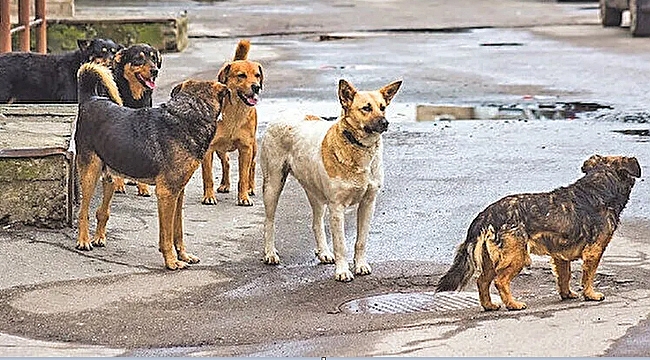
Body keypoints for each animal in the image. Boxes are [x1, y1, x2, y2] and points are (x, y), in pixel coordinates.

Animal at [74, 62, 228, 270]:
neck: (188, 115)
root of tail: (90, 99)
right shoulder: (166, 193)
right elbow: (167, 235)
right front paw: (171, 261)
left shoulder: (178, 192)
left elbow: (178, 231)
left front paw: (183, 255)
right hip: (90, 173)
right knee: (83, 212)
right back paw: (83, 241)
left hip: (110, 177)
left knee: (102, 211)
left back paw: (99, 238)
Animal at [202, 38, 264, 205]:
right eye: (241, 75)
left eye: (257, 75)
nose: (256, 87)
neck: (235, 112)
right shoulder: (208, 149)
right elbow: (208, 177)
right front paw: (208, 196)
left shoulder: (245, 148)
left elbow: (243, 176)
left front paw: (244, 197)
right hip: (220, 148)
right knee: (227, 162)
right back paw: (225, 184)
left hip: (253, 147)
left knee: (252, 165)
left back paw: (250, 188)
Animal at [258, 78, 400, 282]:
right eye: (366, 108)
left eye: (383, 107)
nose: (385, 122)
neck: (358, 148)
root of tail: (283, 113)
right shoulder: (337, 207)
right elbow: (341, 245)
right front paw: (342, 271)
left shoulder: (368, 203)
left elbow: (361, 241)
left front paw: (360, 265)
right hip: (273, 185)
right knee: (269, 222)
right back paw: (270, 253)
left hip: (315, 192)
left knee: (316, 223)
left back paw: (323, 252)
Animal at [436, 156, 636, 310]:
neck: (599, 187)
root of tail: (487, 215)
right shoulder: (594, 251)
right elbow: (588, 276)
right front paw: (590, 294)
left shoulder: (560, 255)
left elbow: (564, 276)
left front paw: (567, 294)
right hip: (517, 256)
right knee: (500, 281)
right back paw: (513, 304)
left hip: (491, 260)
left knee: (482, 281)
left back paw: (489, 305)